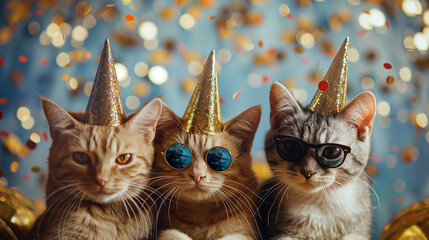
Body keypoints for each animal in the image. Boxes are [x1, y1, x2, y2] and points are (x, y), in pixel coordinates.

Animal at [152, 101, 262, 240]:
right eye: (177, 155)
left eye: (218, 158)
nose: (197, 175)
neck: (200, 214)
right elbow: (171, 233)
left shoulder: (246, 233)